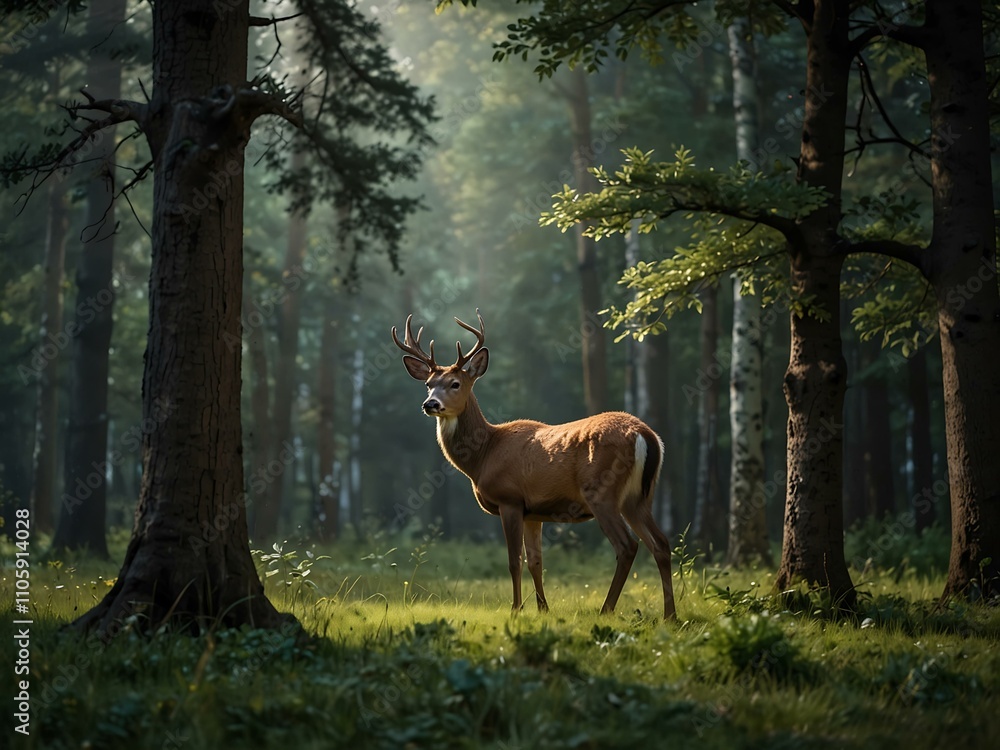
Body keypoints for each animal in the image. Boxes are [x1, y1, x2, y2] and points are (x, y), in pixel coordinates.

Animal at [392, 310, 676, 620]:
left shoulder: (510, 500)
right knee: (661, 544)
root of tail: (646, 435)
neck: (484, 456)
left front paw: (516, 609)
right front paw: (543, 608)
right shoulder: (534, 512)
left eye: (455, 383)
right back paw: (670, 615)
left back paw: (606, 609)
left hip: (602, 492)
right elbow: (535, 562)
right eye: (428, 384)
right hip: (638, 497)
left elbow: (514, 561)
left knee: (627, 546)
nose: (430, 404)